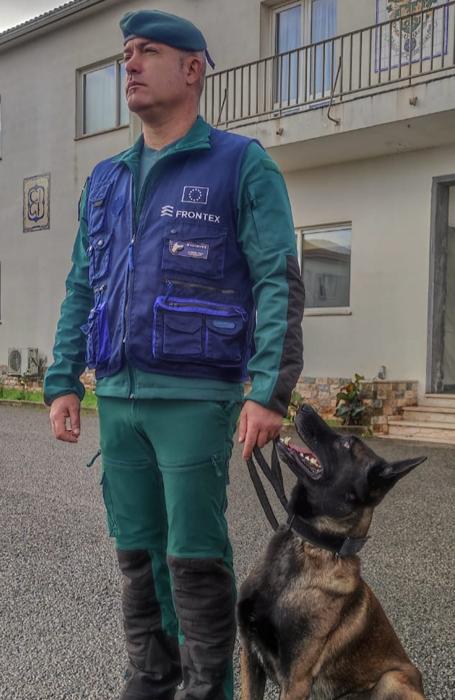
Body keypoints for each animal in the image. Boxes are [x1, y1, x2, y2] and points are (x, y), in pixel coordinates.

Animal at [239, 404, 428, 700]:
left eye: (347, 443)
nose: (303, 406)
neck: (309, 545)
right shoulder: (249, 653)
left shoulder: (296, 681)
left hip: (391, 680)